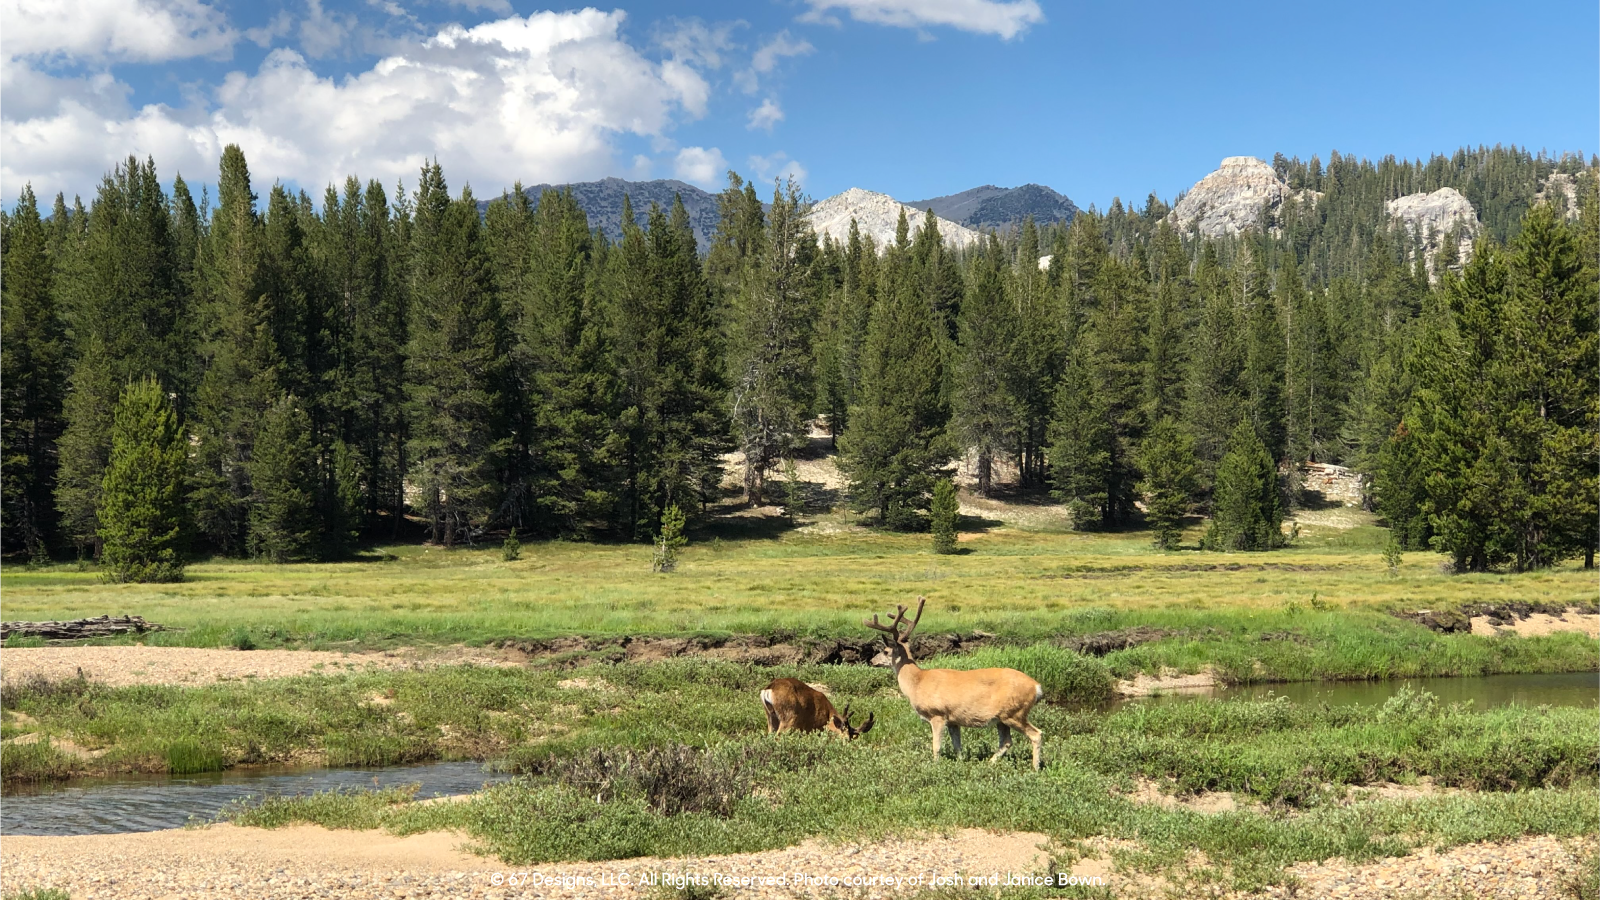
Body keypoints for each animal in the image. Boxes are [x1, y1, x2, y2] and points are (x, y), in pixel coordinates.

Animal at [864, 595, 1049, 762]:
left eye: (885, 651)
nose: (871, 661)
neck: (917, 682)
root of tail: (1037, 687)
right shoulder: (953, 720)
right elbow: (957, 746)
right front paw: (960, 764)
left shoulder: (937, 714)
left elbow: (936, 747)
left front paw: (935, 767)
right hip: (1002, 718)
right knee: (1007, 742)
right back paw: (989, 763)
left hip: (1014, 713)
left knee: (1036, 734)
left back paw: (1035, 767)